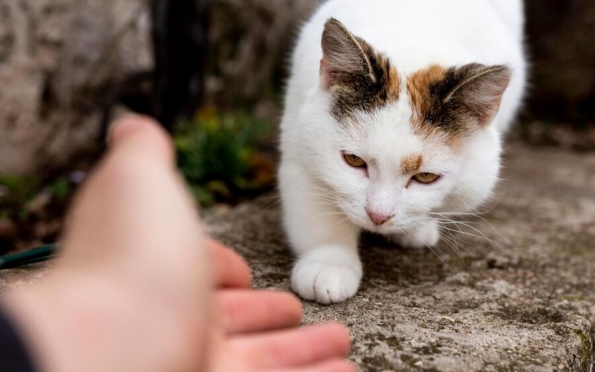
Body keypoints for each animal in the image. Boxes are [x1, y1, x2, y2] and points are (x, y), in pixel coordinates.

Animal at [280, 0, 528, 304]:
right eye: (354, 160)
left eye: (426, 177)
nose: (378, 216)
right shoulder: (298, 142)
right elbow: (318, 213)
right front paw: (328, 263)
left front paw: (417, 227)